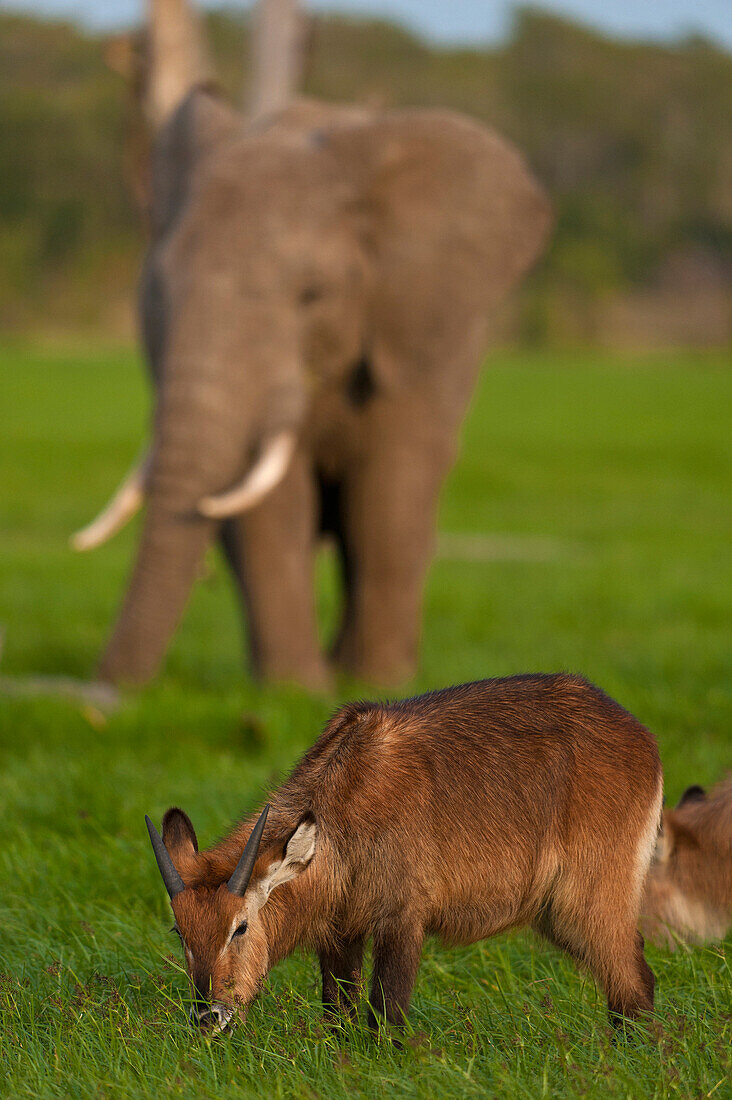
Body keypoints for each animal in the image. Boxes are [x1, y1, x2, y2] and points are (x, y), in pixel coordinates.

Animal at [75, 88, 548, 686]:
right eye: (157, 291)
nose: (107, 689)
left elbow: (390, 486)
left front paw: (379, 684)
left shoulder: (417, 340)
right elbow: (272, 504)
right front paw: (293, 689)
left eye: (313, 294)